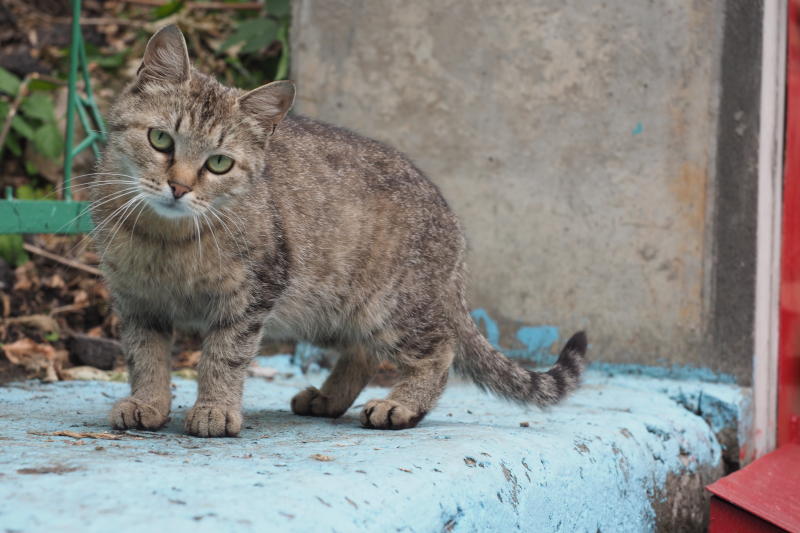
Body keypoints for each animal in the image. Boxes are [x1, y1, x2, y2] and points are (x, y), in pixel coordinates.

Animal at [94, 25, 588, 436]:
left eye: (219, 163)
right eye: (161, 139)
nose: (178, 187)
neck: (166, 241)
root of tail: (452, 226)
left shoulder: (251, 297)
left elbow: (224, 357)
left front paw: (215, 409)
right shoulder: (137, 302)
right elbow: (145, 356)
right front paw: (148, 403)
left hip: (387, 306)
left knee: (440, 351)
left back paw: (400, 405)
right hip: (328, 312)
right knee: (364, 353)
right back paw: (329, 398)